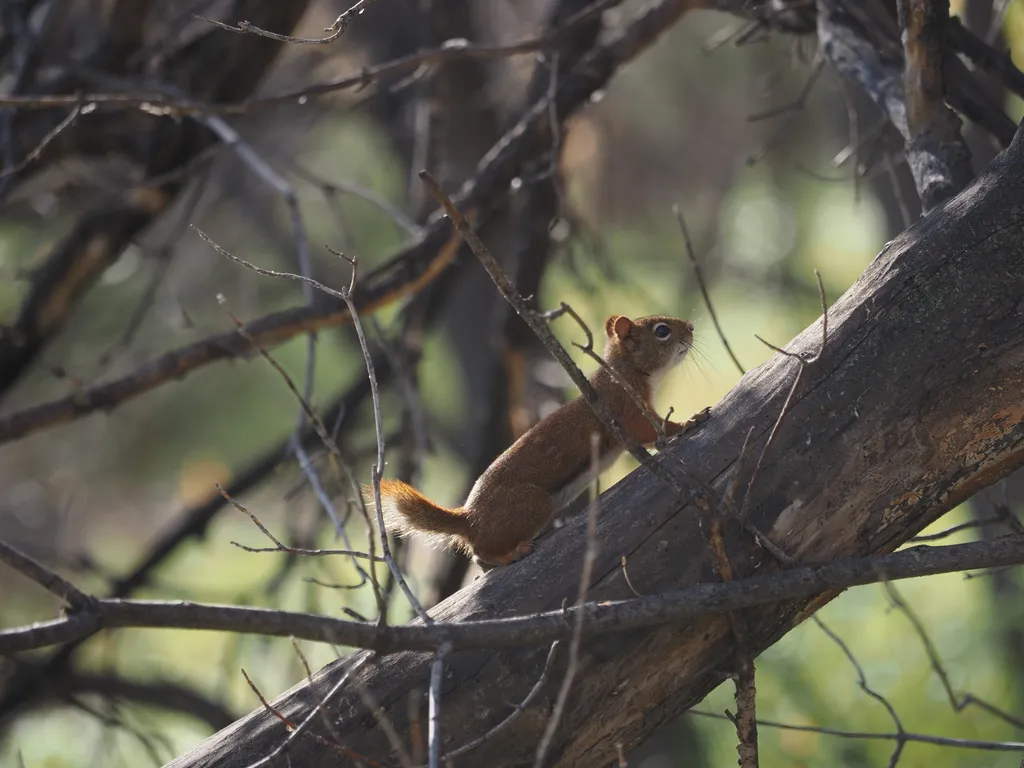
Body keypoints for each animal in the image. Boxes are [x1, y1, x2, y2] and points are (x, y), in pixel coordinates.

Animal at [372, 315, 708, 569]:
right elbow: (651, 430)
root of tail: (469, 520)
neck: (623, 373)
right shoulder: (623, 409)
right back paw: (513, 553)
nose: (692, 327)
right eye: (661, 331)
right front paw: (688, 423)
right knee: (483, 552)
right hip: (534, 504)